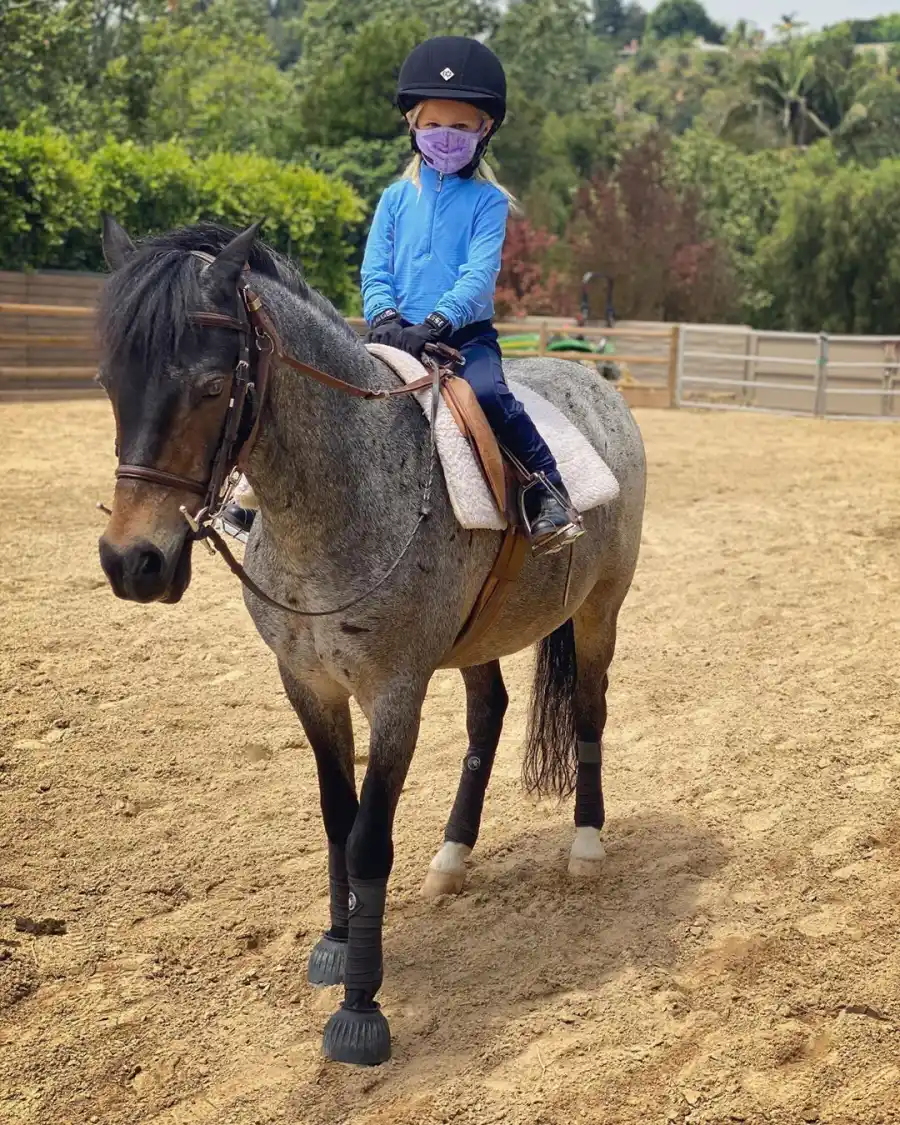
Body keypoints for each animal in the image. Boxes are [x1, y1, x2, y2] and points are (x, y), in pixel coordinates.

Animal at [96, 217, 646, 1066]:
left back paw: (586, 845)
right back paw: (453, 856)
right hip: (478, 636)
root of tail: (593, 380)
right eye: (110, 383)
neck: (344, 490)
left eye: (211, 387)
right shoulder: (307, 684)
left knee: (589, 712)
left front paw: (360, 1008)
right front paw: (335, 940)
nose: (133, 562)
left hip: (599, 611)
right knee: (488, 715)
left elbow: (367, 841)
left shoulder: (394, 695)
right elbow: (335, 814)